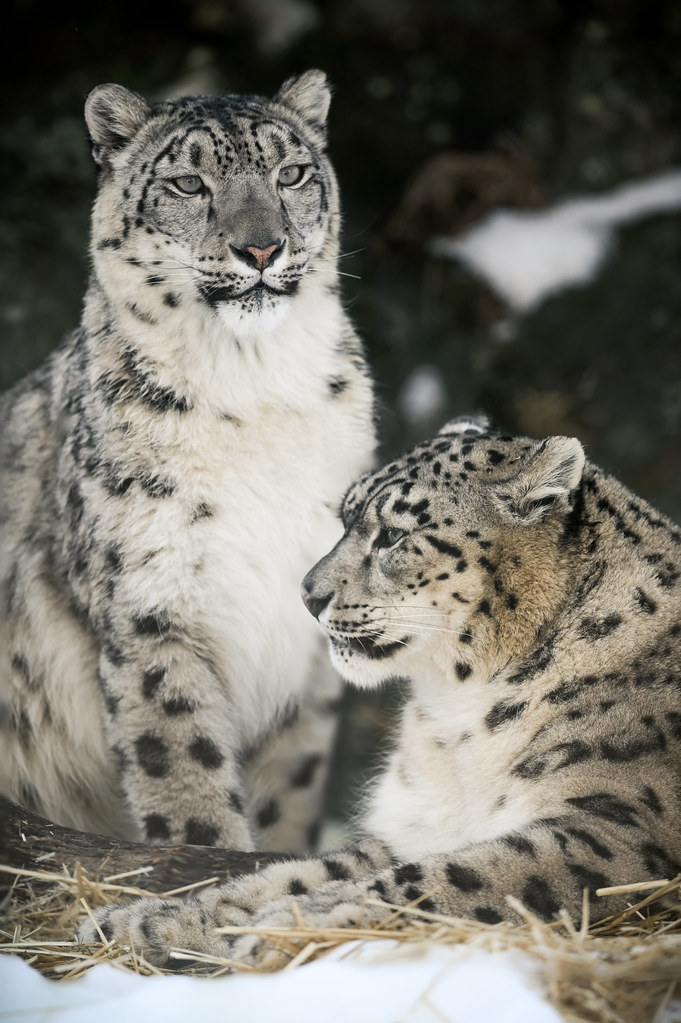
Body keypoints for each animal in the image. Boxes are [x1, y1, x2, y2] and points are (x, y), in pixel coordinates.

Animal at [0, 70, 376, 853]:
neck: (255, 391)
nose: (262, 249)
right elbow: (182, 764)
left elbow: (289, 785)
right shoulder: (150, 606)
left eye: (290, 173)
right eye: (188, 182)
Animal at [79, 415, 681, 968]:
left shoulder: (611, 826)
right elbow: (294, 874)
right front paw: (144, 920)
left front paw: (292, 926)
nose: (308, 594)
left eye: (393, 534)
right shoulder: (413, 827)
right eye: (345, 519)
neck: (455, 718)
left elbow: (449, 877)